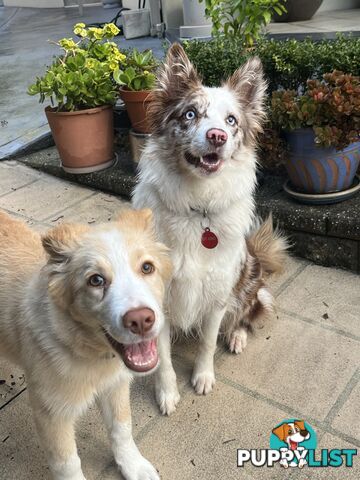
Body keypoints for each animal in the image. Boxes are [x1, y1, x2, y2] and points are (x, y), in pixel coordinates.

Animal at [0, 210, 172, 480]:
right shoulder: (51, 413)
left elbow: (122, 429)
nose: (141, 321)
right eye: (96, 280)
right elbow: (67, 464)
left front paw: (134, 466)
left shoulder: (115, 385)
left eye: (147, 267)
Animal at [132, 43, 286, 414]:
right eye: (190, 114)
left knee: (247, 312)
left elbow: (206, 343)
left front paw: (202, 377)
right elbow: (163, 360)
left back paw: (237, 335)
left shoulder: (217, 295)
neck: (197, 208)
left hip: (248, 281)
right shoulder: (158, 300)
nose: (217, 136)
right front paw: (167, 393)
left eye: (231, 121)